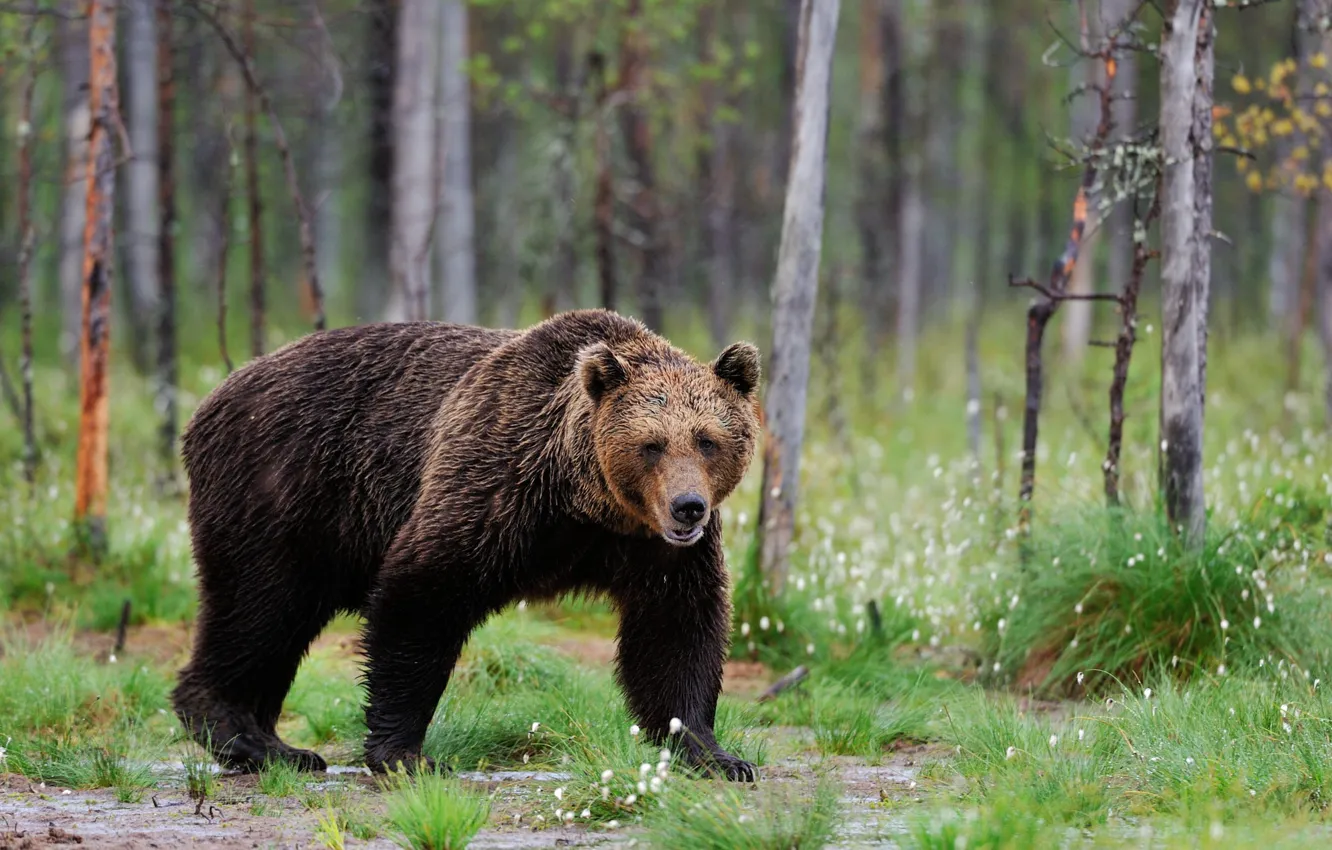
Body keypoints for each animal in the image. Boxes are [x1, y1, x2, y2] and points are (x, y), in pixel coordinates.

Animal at [170, 308, 762, 781]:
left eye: (707, 439)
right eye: (651, 445)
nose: (688, 506)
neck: (585, 503)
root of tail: (212, 396)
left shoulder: (654, 549)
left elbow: (676, 631)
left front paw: (714, 754)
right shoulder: (496, 483)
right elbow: (423, 594)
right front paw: (406, 753)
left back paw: (274, 744)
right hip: (283, 490)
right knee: (259, 607)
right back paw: (247, 737)